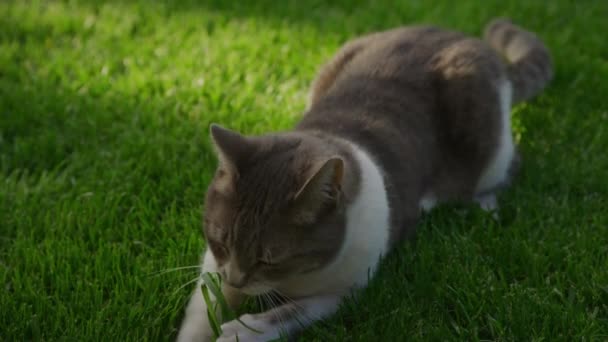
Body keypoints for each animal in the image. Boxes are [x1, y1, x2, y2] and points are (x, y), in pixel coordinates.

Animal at [176, 19, 552, 342]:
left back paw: (484, 204)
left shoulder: (347, 288)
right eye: (220, 240)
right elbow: (204, 302)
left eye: (269, 259)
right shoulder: (214, 264)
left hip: (488, 144)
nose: (236, 279)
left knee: (507, 164)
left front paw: (241, 330)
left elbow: (292, 312)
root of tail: (468, 40)